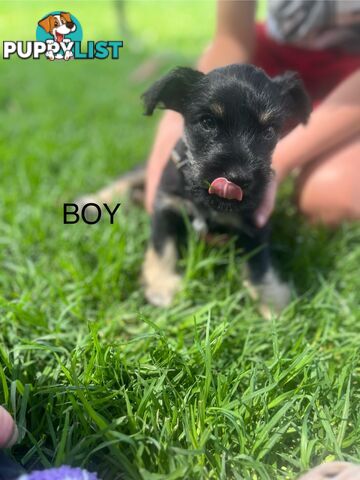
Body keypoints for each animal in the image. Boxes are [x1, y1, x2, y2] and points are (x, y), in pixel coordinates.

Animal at [141, 62, 310, 312]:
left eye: (269, 131)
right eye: (208, 122)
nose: (237, 178)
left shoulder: (255, 224)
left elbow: (259, 264)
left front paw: (272, 304)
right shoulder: (165, 205)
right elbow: (163, 247)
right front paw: (163, 287)